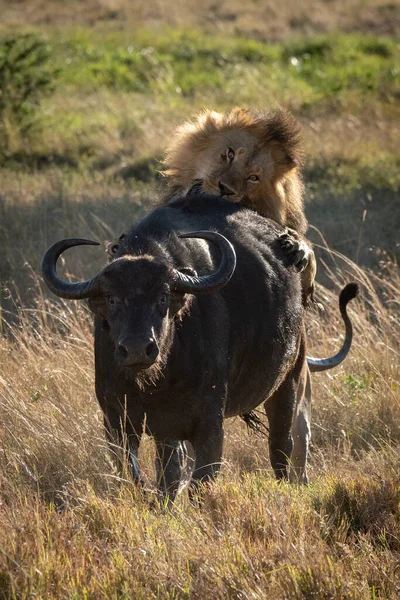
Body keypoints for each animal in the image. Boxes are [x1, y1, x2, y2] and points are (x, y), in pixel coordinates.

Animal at [42, 195, 358, 500]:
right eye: (111, 298)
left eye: (163, 297)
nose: (137, 349)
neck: (155, 382)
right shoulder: (118, 422)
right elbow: (142, 475)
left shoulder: (209, 424)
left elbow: (200, 482)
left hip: (288, 381)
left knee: (283, 446)